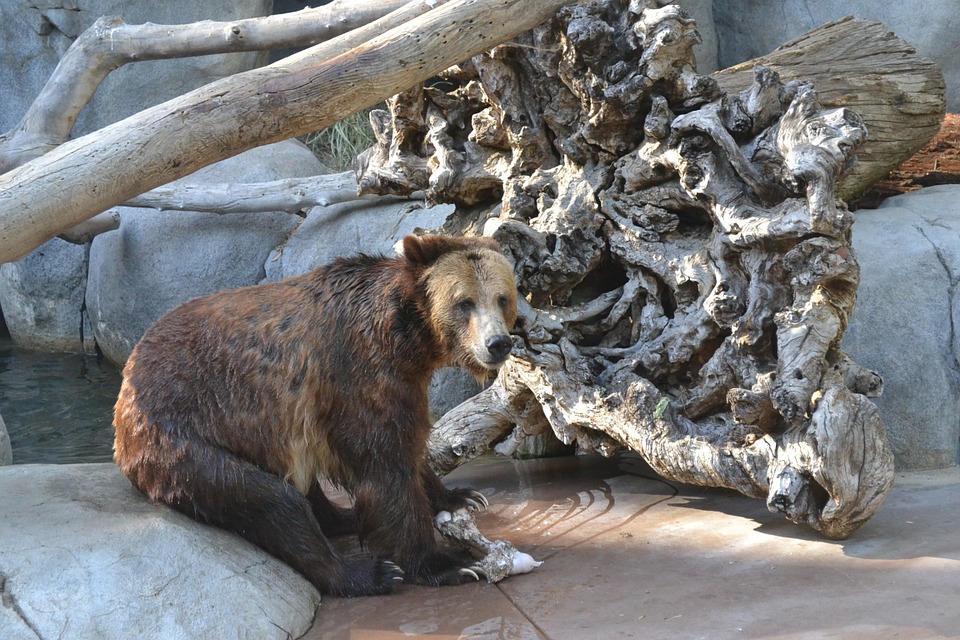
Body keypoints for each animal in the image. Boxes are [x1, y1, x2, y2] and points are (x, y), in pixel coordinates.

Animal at [112, 234, 516, 596]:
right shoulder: (355, 372)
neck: (405, 336)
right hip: (182, 436)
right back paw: (367, 573)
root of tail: (126, 380)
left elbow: (410, 447)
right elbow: (384, 465)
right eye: (464, 302)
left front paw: (460, 496)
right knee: (269, 500)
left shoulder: (401, 383)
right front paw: (448, 564)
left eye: (502, 298)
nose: (498, 343)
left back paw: (346, 518)